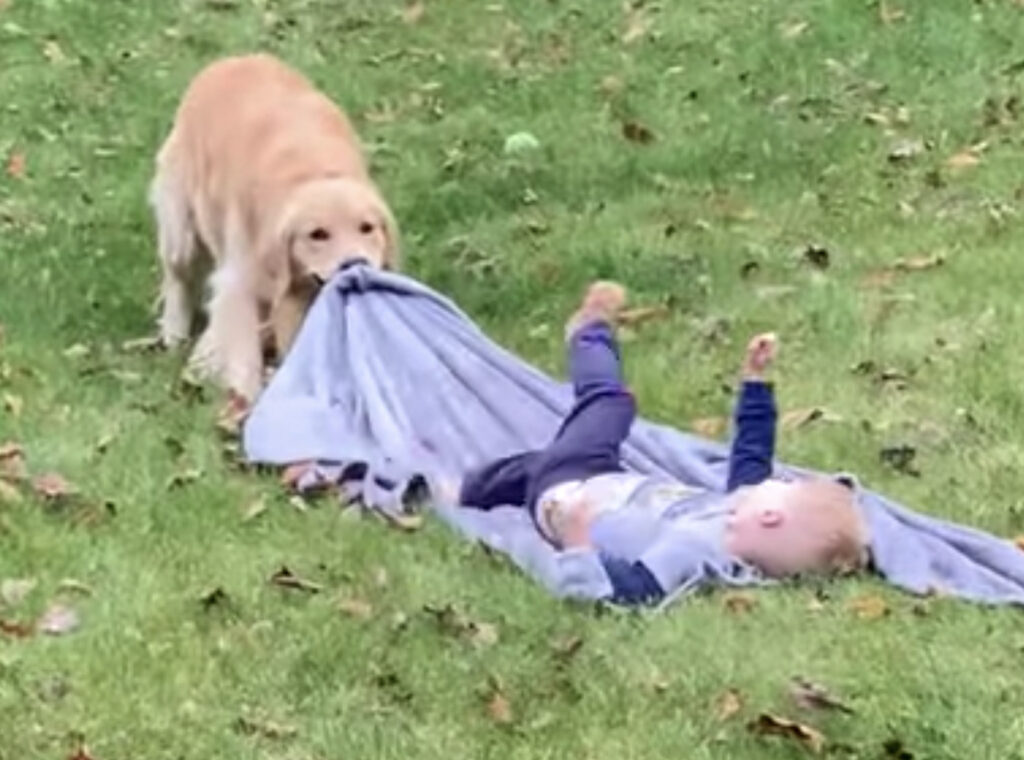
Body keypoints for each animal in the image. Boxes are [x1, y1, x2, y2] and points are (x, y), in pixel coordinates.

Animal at [150, 53, 399, 401]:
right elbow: (244, 359)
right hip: (182, 228)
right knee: (178, 278)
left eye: (367, 228)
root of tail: (233, 59)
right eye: (317, 234)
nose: (355, 264)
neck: (313, 173)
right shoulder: (240, 282)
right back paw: (175, 334)